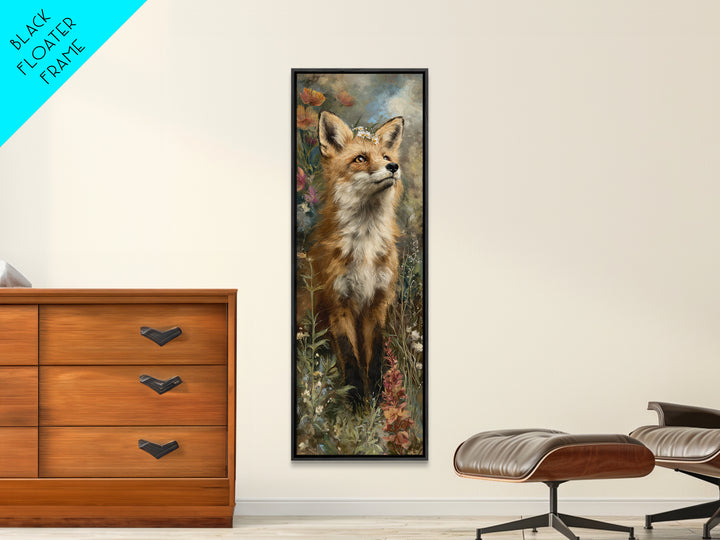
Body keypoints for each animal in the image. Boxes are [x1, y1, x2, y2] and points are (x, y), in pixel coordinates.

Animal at [307, 111, 404, 408]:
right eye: (360, 158)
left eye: (385, 156)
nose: (394, 166)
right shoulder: (338, 304)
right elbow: (350, 358)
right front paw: (358, 403)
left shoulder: (378, 303)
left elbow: (375, 357)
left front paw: (378, 399)